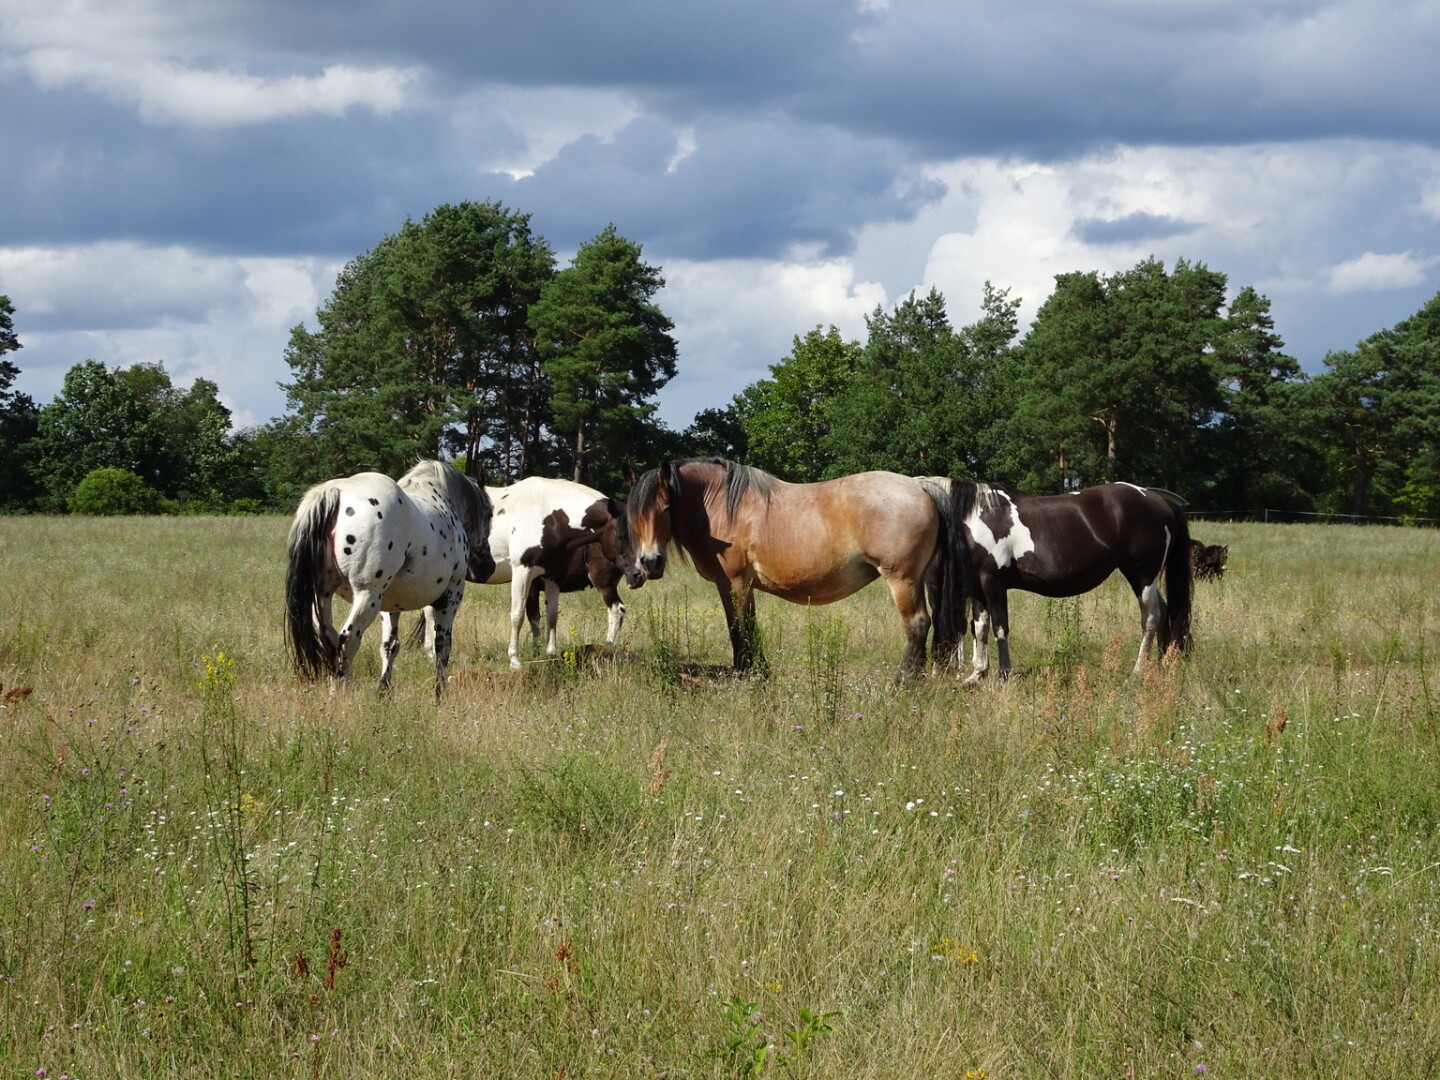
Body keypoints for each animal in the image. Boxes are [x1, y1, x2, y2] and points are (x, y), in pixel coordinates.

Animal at [284, 460, 495, 698]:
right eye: (489, 513)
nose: (488, 568)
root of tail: (335, 492)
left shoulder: (390, 604)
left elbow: (390, 645)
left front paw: (383, 689)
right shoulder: (451, 595)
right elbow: (442, 646)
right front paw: (440, 692)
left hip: (323, 595)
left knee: (329, 638)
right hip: (367, 595)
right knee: (347, 639)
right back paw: (343, 692)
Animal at [479, 476, 644, 669]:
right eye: (622, 536)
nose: (639, 575)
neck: (546, 516)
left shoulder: (547, 577)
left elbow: (545, 616)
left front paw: (541, 654)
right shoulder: (525, 573)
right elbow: (524, 615)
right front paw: (522, 658)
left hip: (604, 584)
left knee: (616, 610)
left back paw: (609, 646)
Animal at [625, 457, 964, 679]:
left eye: (665, 508)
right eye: (632, 513)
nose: (650, 563)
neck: (721, 507)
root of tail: (920, 485)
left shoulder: (736, 582)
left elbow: (741, 627)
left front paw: (747, 672)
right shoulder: (732, 586)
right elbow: (743, 625)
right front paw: (754, 670)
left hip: (902, 579)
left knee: (917, 624)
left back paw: (902, 683)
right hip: (925, 579)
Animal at [931, 480, 1192, 682]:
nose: (931, 675)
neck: (976, 518)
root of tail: (1160, 501)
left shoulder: (993, 582)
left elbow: (1000, 628)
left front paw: (1003, 674)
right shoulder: (977, 586)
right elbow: (980, 628)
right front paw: (977, 674)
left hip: (1143, 574)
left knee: (1150, 619)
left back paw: (1137, 673)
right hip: (1144, 576)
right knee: (1164, 613)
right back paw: (1162, 663)